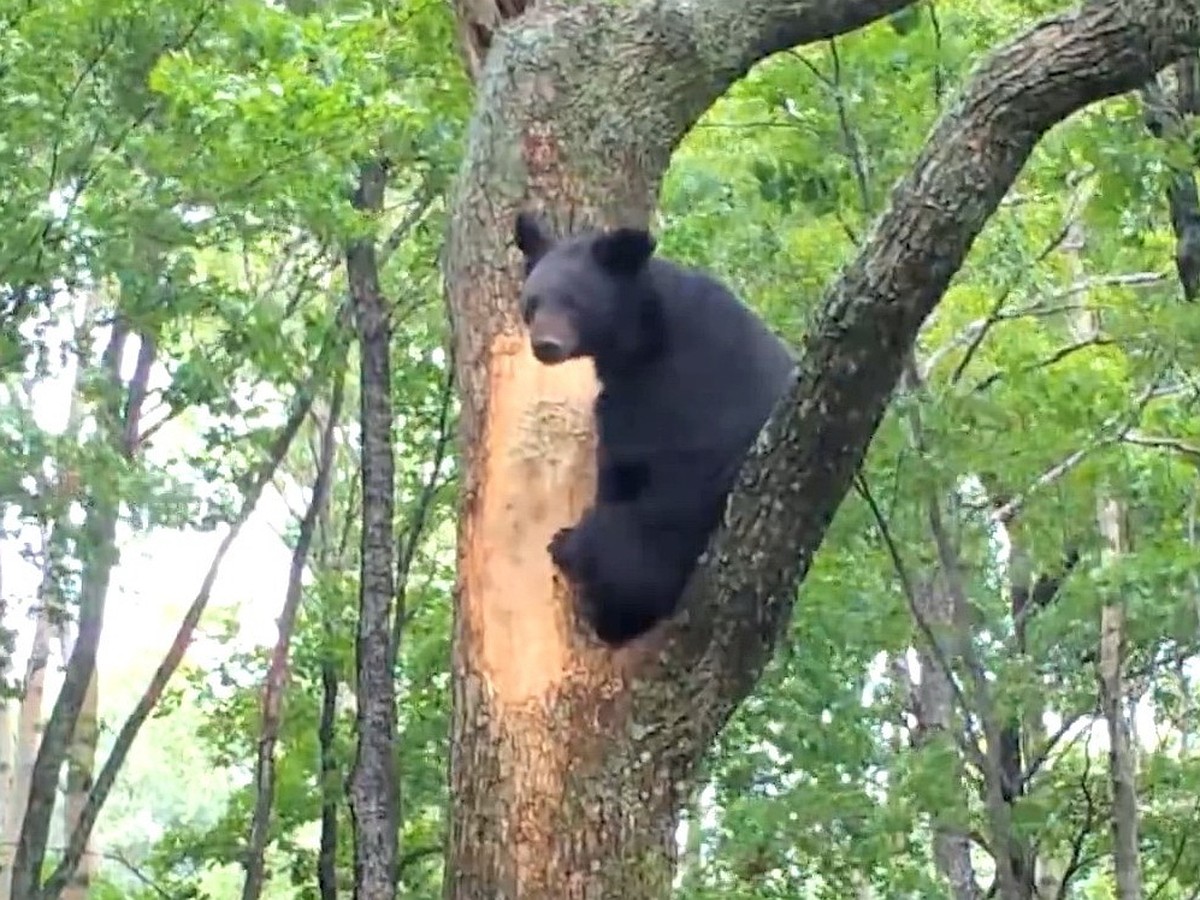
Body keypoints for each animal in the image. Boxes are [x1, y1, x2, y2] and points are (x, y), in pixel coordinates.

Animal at [516, 211, 796, 648]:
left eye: (574, 301)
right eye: (533, 302)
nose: (546, 344)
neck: (639, 336)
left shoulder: (679, 376)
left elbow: (644, 441)